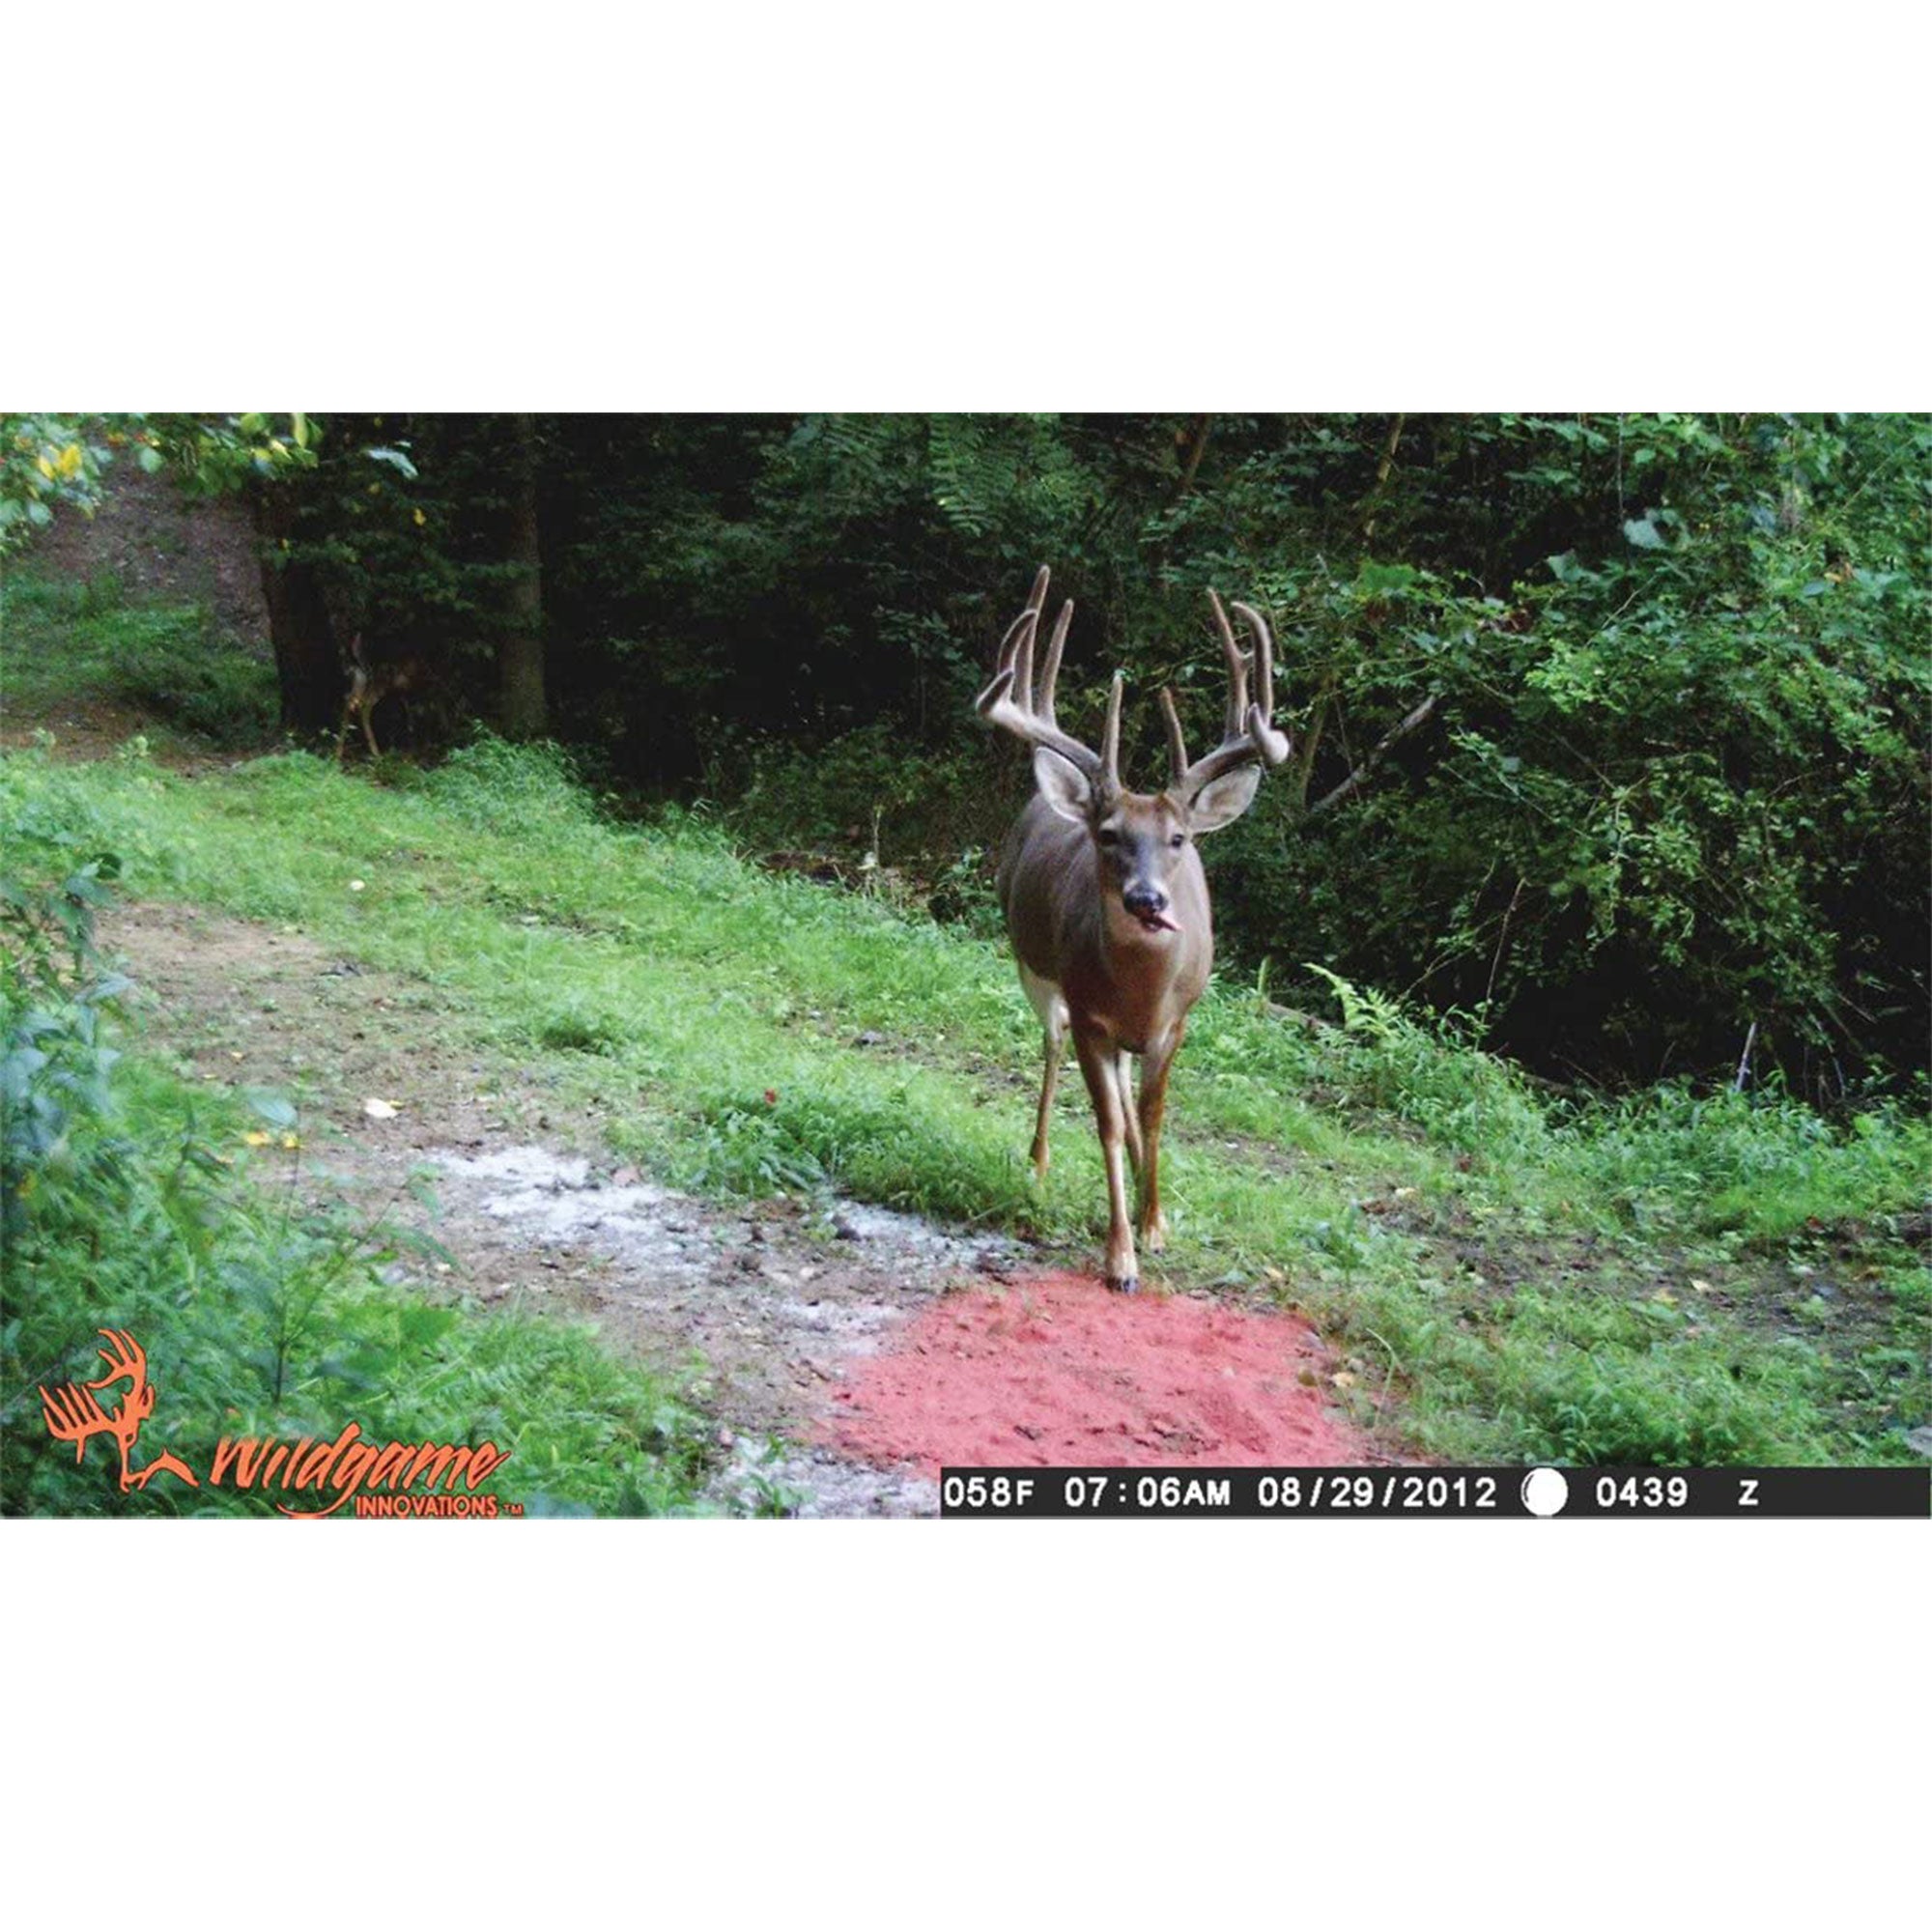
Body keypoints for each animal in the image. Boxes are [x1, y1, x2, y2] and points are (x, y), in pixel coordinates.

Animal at [977, 566, 1290, 1293]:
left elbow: (1150, 1115)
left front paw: (1155, 1222)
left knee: (1126, 1091)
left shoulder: (1177, 1022)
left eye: (1178, 838)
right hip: (1034, 971)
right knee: (1052, 1047)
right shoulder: (1091, 1015)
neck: (1142, 991)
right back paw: (1037, 1161)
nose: (1146, 898)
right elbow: (1108, 1124)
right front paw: (1120, 1257)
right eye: (1110, 835)